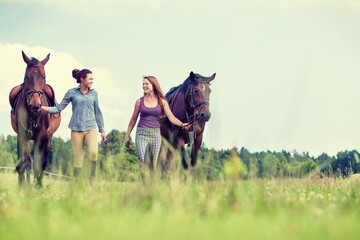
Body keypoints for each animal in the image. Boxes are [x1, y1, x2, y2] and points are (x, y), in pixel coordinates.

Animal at [8, 50, 60, 186]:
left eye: (44, 76)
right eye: (27, 76)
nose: (35, 104)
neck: (33, 114)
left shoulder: (41, 136)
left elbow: (37, 162)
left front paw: (36, 186)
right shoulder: (22, 135)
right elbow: (24, 162)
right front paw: (23, 186)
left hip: (48, 138)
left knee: (43, 162)